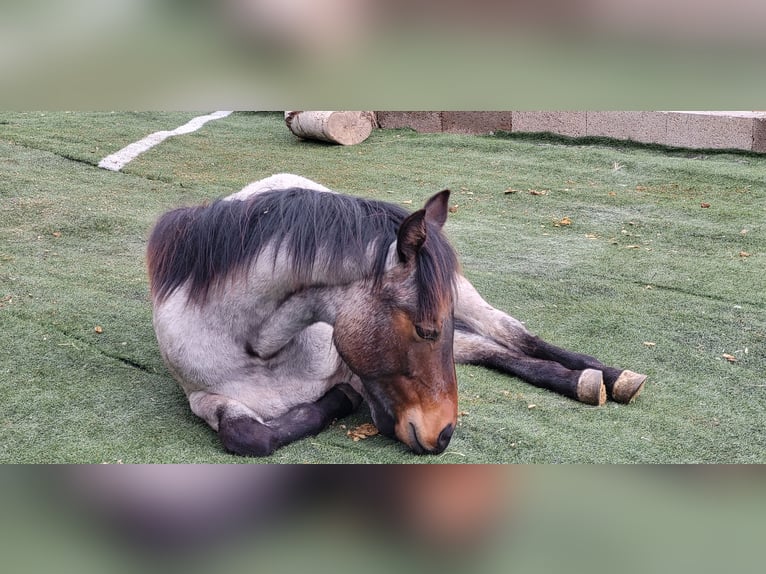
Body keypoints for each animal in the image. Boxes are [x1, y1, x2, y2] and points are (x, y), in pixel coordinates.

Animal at [147, 174, 646, 456]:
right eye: (425, 330)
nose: (444, 435)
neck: (263, 347)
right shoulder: (203, 398)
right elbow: (249, 436)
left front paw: (341, 398)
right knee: (489, 349)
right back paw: (584, 384)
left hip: (469, 299)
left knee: (515, 335)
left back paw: (611, 376)